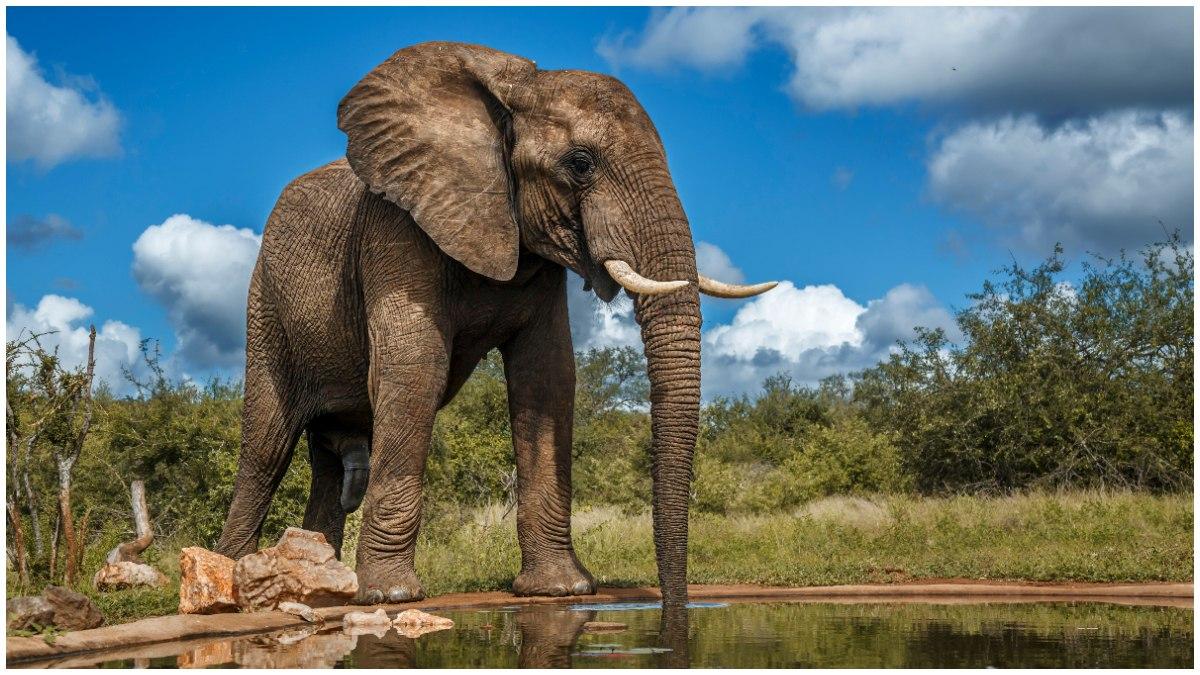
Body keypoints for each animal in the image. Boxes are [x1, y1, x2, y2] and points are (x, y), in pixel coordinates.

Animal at [214, 41, 775, 607]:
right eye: (580, 163)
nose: (673, 603)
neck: (512, 94)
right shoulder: (396, 228)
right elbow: (415, 368)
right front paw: (390, 596)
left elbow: (546, 379)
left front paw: (561, 589)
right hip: (265, 302)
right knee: (265, 446)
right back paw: (237, 576)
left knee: (326, 463)